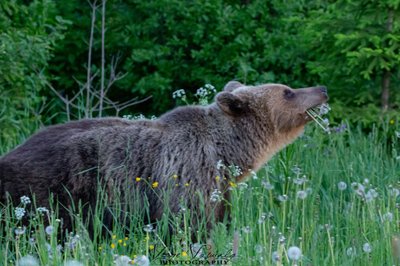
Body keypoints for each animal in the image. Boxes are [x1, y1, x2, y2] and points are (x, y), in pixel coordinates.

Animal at [0, 81, 328, 229]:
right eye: (287, 91)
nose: (322, 88)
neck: (226, 152)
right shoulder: (188, 173)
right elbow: (188, 224)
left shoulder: (219, 187)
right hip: (54, 192)